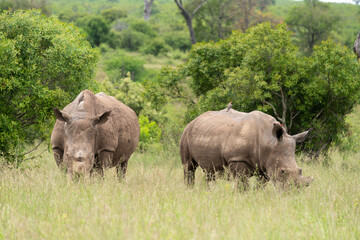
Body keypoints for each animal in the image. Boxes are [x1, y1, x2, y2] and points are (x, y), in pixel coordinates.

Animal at [181, 109, 314, 189]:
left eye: (300, 170)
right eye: (282, 171)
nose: (294, 192)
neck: (269, 142)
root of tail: (194, 120)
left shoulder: (265, 164)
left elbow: (261, 185)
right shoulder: (238, 159)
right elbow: (242, 185)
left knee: (209, 172)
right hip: (186, 132)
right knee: (189, 167)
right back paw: (189, 190)